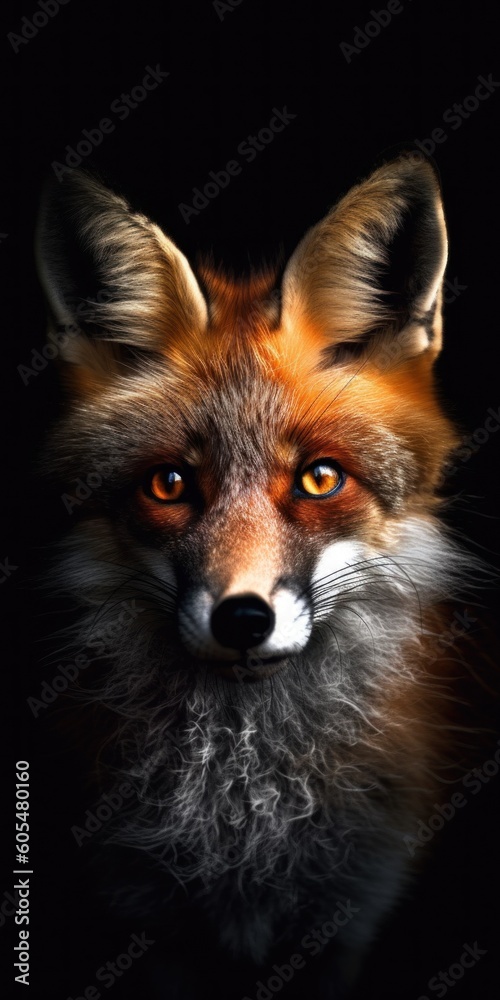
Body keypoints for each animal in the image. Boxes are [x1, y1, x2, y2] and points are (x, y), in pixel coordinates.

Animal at [34, 153, 486, 999]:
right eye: (170, 485)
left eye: (319, 479)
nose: (242, 619)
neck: (244, 817)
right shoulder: (146, 917)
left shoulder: (346, 917)